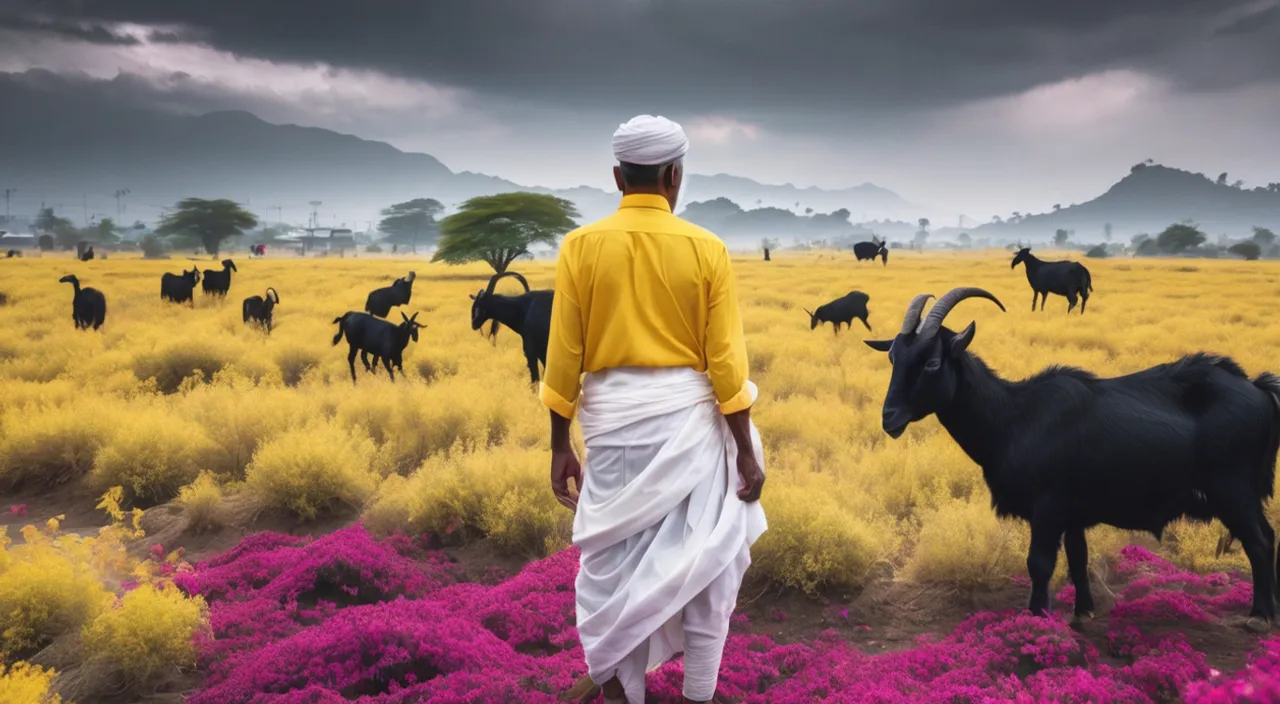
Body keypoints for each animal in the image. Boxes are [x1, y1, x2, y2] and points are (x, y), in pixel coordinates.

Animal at [860, 286, 1280, 624]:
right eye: (893, 357)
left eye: (932, 362)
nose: (890, 417)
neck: (1012, 416)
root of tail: (1259, 390)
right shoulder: (1074, 512)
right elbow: (1078, 559)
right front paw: (1082, 612)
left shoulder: (1048, 505)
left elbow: (1040, 563)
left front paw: (1037, 617)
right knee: (1269, 537)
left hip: (1233, 490)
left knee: (1259, 542)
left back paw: (1259, 616)